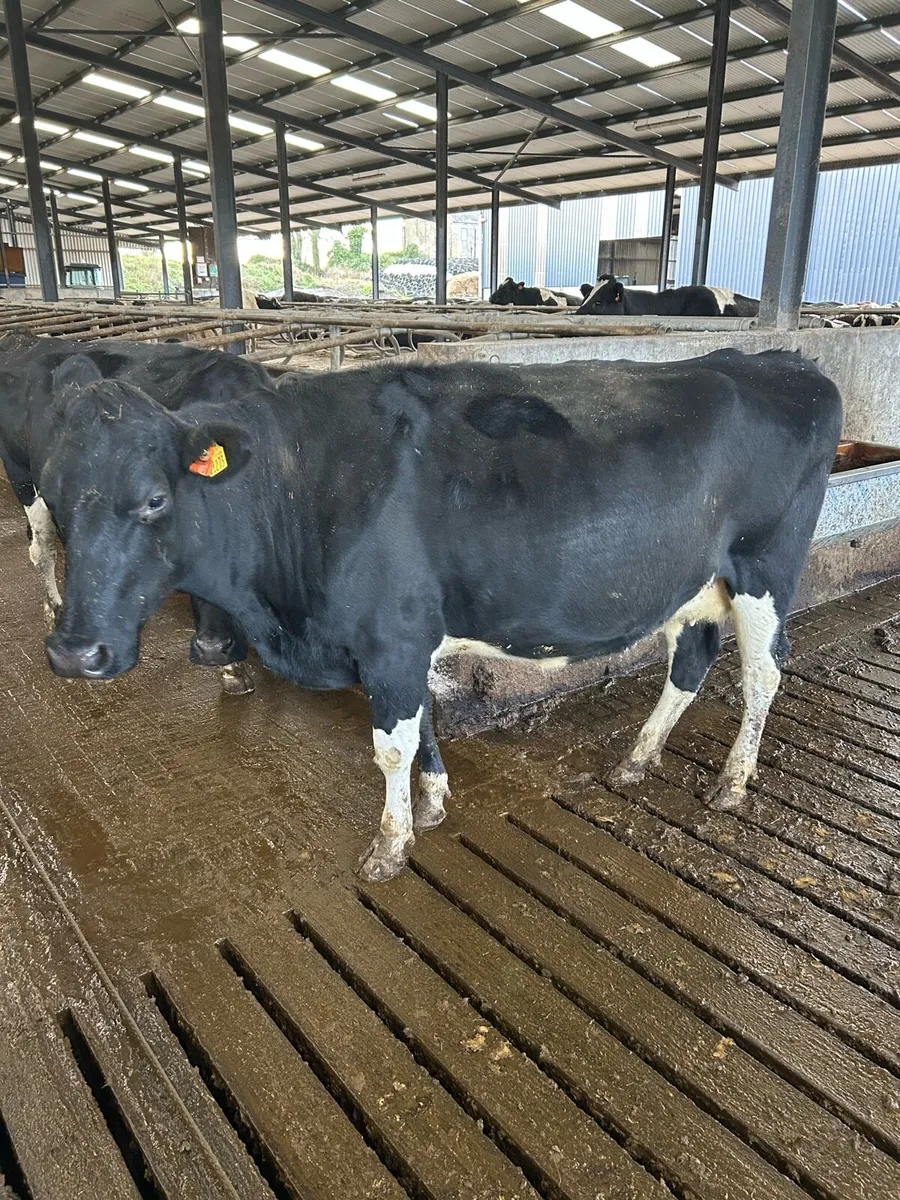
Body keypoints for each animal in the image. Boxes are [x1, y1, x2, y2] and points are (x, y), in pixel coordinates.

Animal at [0, 333, 271, 694]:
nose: (214, 648)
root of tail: (23, 340)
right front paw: (232, 668)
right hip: (23, 478)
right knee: (41, 549)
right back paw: (56, 608)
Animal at [39, 349, 841, 883]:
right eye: (52, 493)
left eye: (154, 499)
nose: (74, 653)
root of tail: (780, 360)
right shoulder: (401, 641)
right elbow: (422, 721)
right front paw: (431, 804)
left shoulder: (390, 638)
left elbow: (389, 744)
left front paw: (390, 844)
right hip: (691, 584)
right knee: (691, 661)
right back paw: (637, 760)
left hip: (765, 569)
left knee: (764, 673)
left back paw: (731, 783)